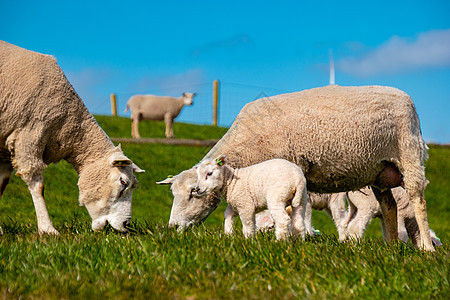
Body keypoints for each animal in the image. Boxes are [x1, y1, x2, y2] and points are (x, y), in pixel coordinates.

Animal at [0, 41, 144, 236]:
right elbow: (38, 185)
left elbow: (1, 184)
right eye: (123, 182)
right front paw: (48, 229)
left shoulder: (5, 149)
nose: (126, 224)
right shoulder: (28, 134)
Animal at [159, 85, 436, 252]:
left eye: (193, 193)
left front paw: (291, 239)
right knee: (389, 207)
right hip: (380, 171)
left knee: (418, 201)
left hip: (408, 153)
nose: (171, 228)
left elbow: (290, 211)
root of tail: (406, 98)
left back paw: (427, 250)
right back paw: (391, 247)